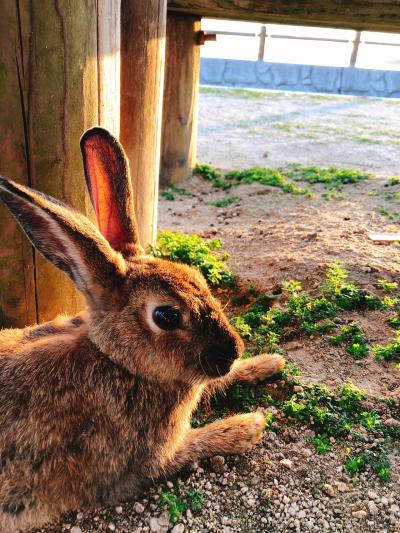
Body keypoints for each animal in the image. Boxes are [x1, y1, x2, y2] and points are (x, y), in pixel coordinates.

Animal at [0, 127, 284, 528]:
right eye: (166, 316)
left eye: (198, 276)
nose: (232, 352)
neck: (118, 362)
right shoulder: (146, 460)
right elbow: (196, 443)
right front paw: (247, 426)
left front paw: (268, 363)